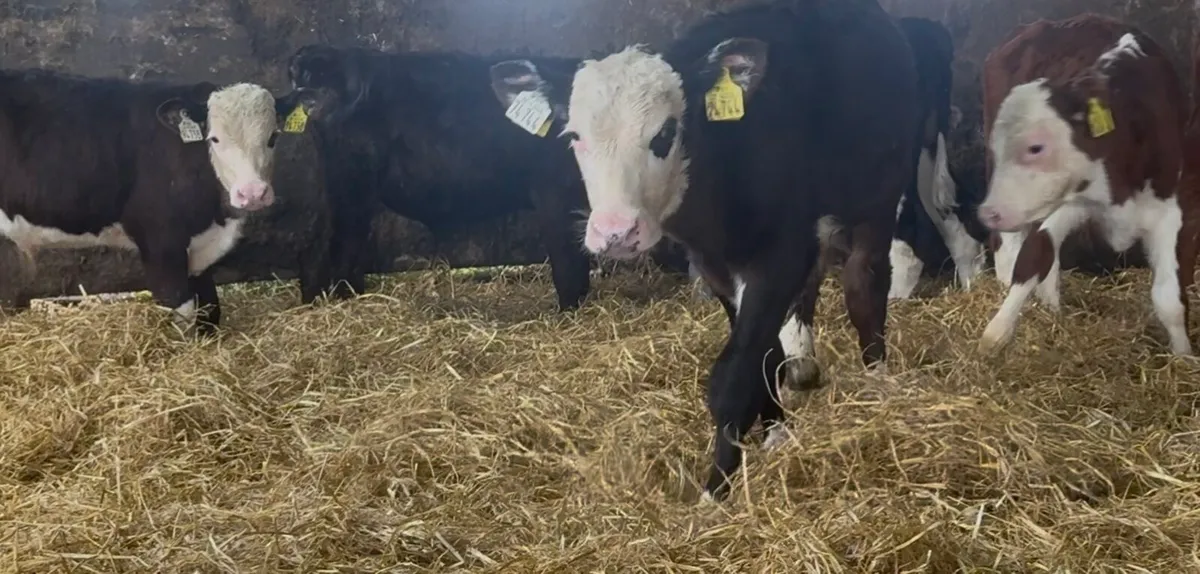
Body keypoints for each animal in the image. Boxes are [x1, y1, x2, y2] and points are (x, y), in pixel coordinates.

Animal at [0, 69, 287, 333]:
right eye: (214, 138)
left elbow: (210, 304)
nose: (253, 193)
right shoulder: (160, 242)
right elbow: (180, 306)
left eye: (273, 137)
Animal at [271, 45, 689, 313]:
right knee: (325, 248)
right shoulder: (553, 197)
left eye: (664, 132)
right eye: (577, 133)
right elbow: (570, 269)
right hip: (348, 188)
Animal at [490, 0, 922, 501]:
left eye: (665, 133)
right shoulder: (718, 266)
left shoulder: (778, 258)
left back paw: (877, 381)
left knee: (864, 285)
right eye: (575, 136)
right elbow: (761, 356)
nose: (616, 231)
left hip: (879, 198)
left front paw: (716, 489)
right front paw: (774, 433)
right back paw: (804, 367)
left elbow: (734, 377)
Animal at [976, 13, 1199, 357]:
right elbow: (1032, 256)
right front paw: (996, 332)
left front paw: (1183, 355)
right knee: (1009, 248)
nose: (988, 213)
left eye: (1036, 147)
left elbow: (1169, 298)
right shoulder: (1069, 203)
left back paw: (1053, 311)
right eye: (996, 147)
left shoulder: (1168, 208)